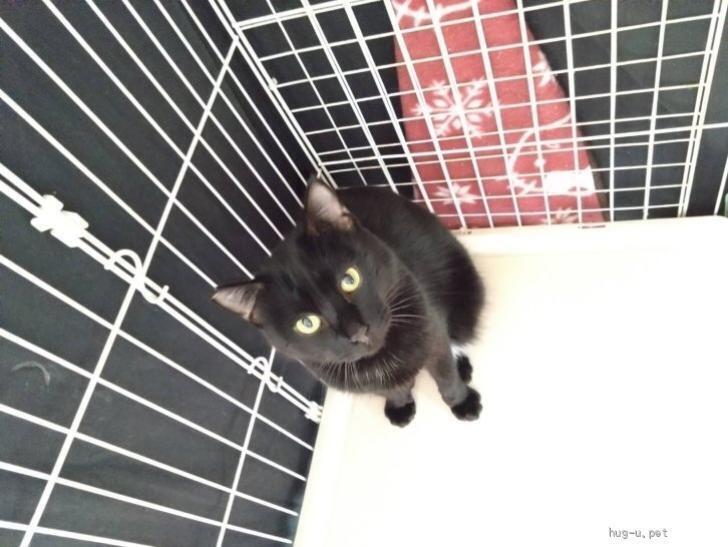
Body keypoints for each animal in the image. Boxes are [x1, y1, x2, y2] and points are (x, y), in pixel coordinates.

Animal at [213, 177, 484, 426]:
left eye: (349, 279)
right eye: (307, 323)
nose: (357, 331)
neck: (381, 357)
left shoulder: (429, 323)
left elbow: (444, 372)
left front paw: (462, 401)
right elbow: (388, 388)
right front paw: (399, 405)